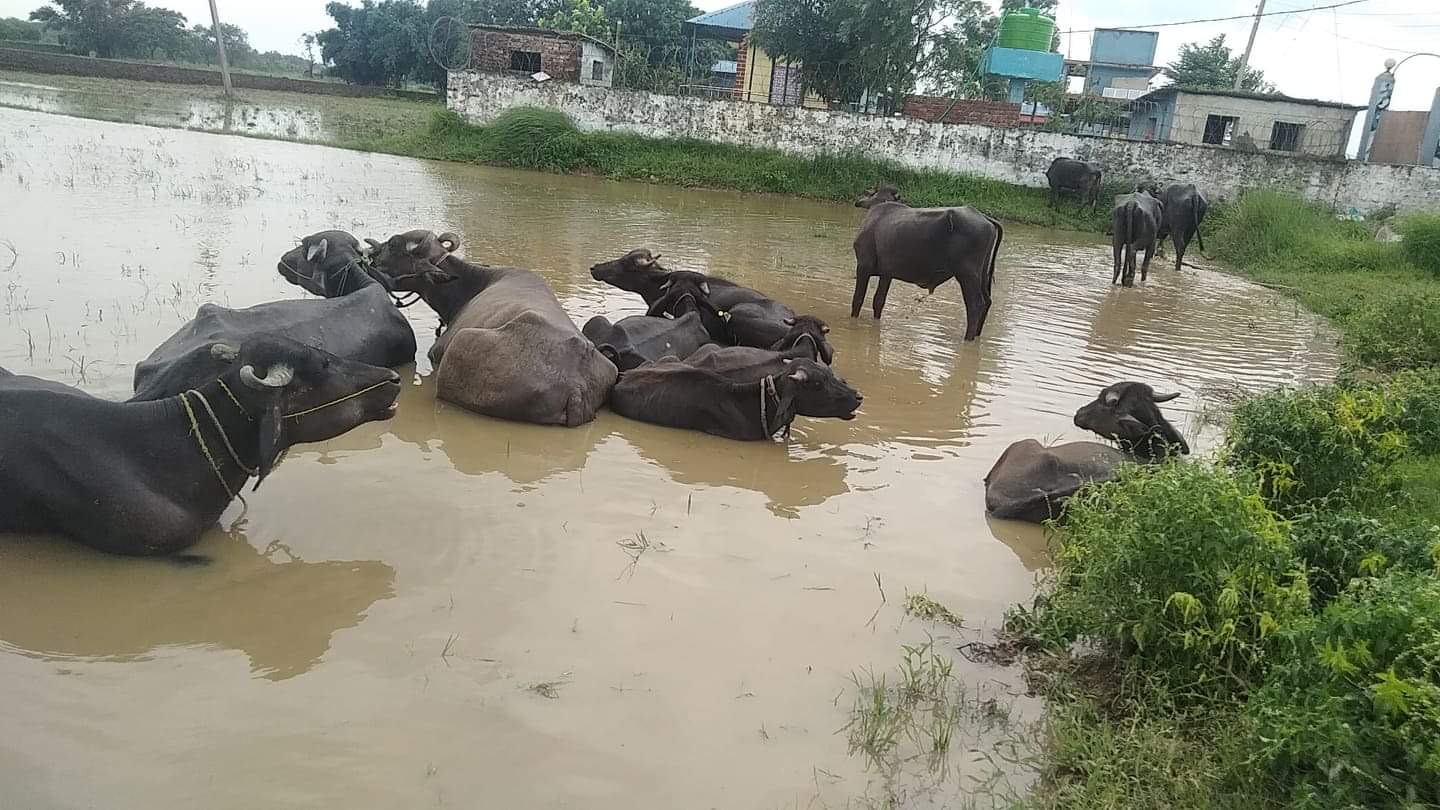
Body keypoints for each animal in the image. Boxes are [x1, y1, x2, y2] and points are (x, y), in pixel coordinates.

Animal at [846, 184, 1008, 338]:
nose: (857, 201)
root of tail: (985, 218)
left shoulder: (863, 267)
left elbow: (857, 299)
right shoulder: (887, 274)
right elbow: (878, 301)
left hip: (967, 275)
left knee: (975, 305)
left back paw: (968, 337)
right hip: (983, 274)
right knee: (987, 302)